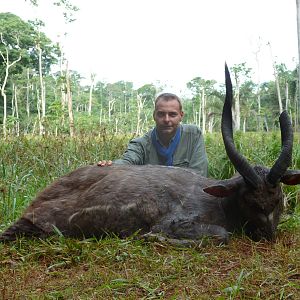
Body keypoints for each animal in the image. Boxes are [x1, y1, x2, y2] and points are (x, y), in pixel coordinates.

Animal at [0, 65, 300, 244]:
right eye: (251, 200)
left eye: (278, 198)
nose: (268, 236)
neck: (220, 202)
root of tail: (35, 205)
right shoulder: (178, 222)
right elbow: (221, 235)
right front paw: (151, 238)